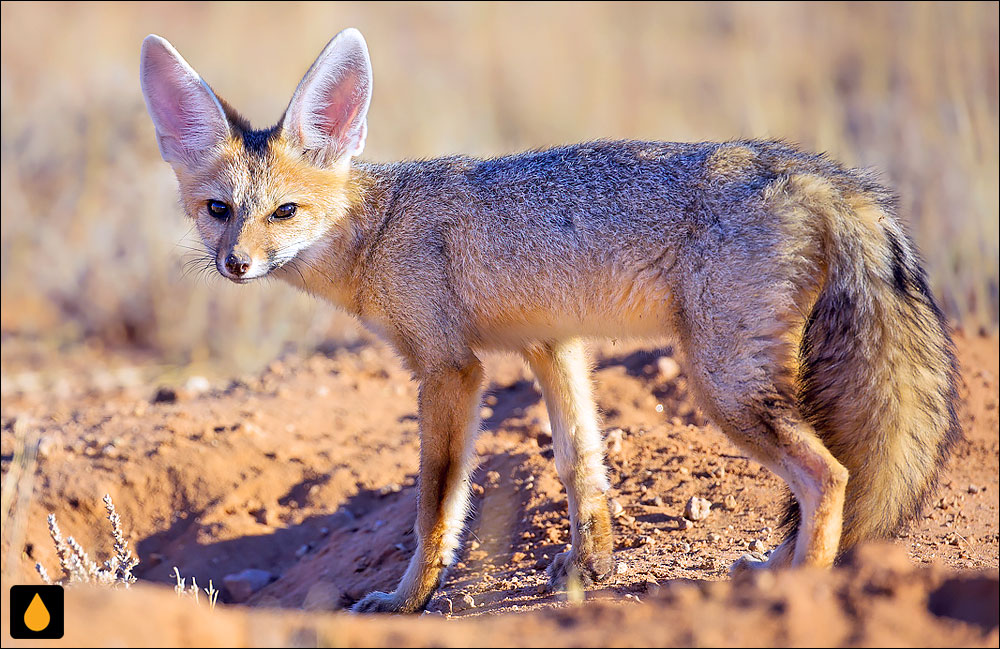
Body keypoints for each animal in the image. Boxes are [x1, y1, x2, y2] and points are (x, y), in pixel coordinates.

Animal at [139, 26, 960, 612]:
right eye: (219, 211)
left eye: (283, 212)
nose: (236, 264)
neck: (379, 226)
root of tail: (820, 172)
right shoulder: (550, 344)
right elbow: (578, 461)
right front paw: (589, 564)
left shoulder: (450, 369)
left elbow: (436, 502)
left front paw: (408, 599)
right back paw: (770, 566)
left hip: (722, 383)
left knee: (828, 473)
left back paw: (800, 585)